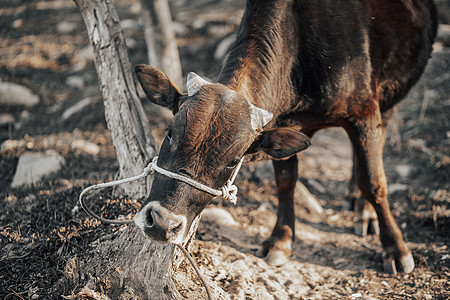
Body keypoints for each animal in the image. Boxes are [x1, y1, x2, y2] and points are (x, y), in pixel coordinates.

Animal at [134, 0, 436, 274]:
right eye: (169, 133)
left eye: (233, 161)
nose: (162, 223)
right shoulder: (285, 127)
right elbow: (286, 181)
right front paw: (281, 240)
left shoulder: (365, 113)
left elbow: (374, 183)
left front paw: (396, 249)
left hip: (389, 99)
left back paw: (364, 211)